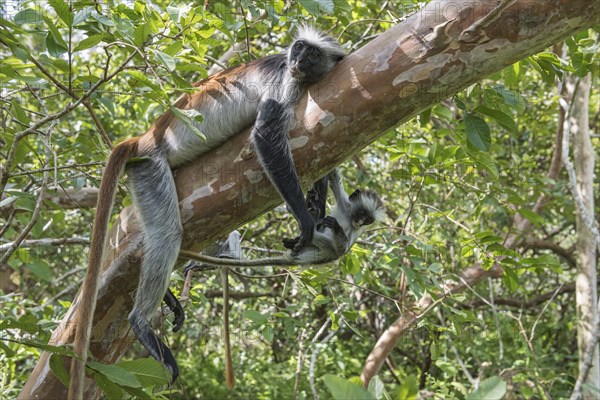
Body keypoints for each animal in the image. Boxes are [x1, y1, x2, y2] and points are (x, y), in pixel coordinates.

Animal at [68, 26, 344, 398]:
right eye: (298, 48)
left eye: (312, 54)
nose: (298, 59)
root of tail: (144, 138)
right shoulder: (285, 80)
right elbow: (266, 135)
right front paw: (304, 219)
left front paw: (317, 204)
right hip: (149, 167)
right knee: (168, 233)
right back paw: (140, 322)